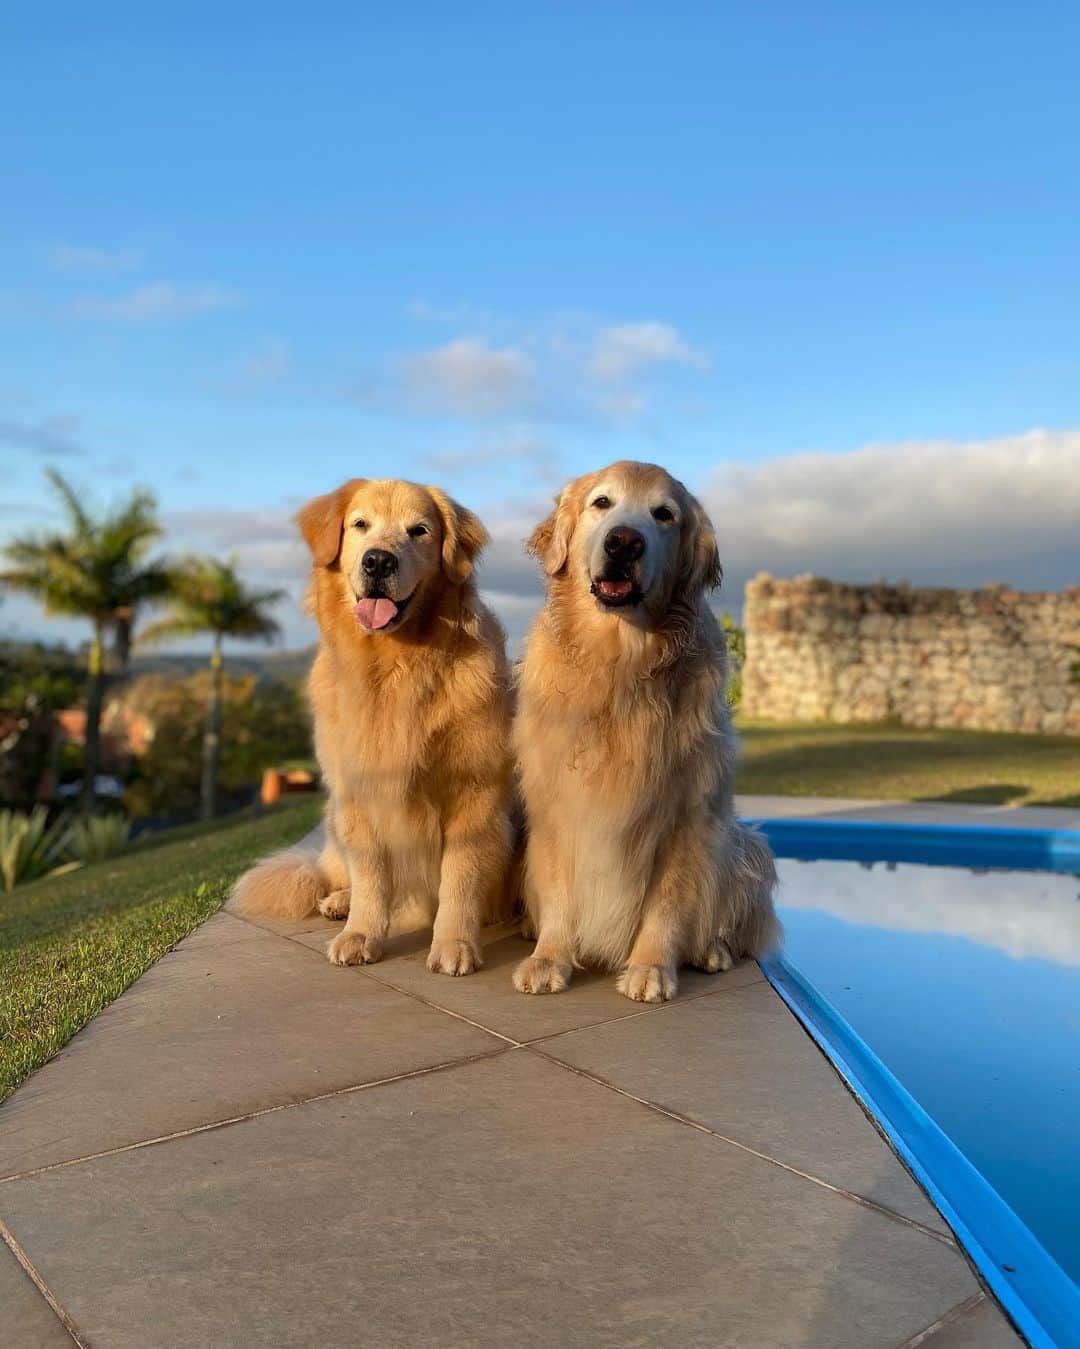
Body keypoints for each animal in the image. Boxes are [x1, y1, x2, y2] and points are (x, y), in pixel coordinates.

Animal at [229, 480, 515, 976]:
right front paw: (361, 934)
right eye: (359, 524)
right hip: (334, 818)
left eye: (419, 530)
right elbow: (371, 877)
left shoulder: (473, 792)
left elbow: (459, 877)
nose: (378, 561)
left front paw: (454, 943)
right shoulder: (358, 792)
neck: (395, 667)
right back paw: (338, 901)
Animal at [509, 464, 771, 1003]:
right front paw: (549, 957)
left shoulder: (686, 815)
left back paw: (711, 949)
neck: (619, 667)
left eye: (664, 514)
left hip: (743, 844)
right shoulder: (557, 805)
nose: (625, 542)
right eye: (601, 503)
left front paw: (650, 967)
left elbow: (668, 903)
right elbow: (559, 892)